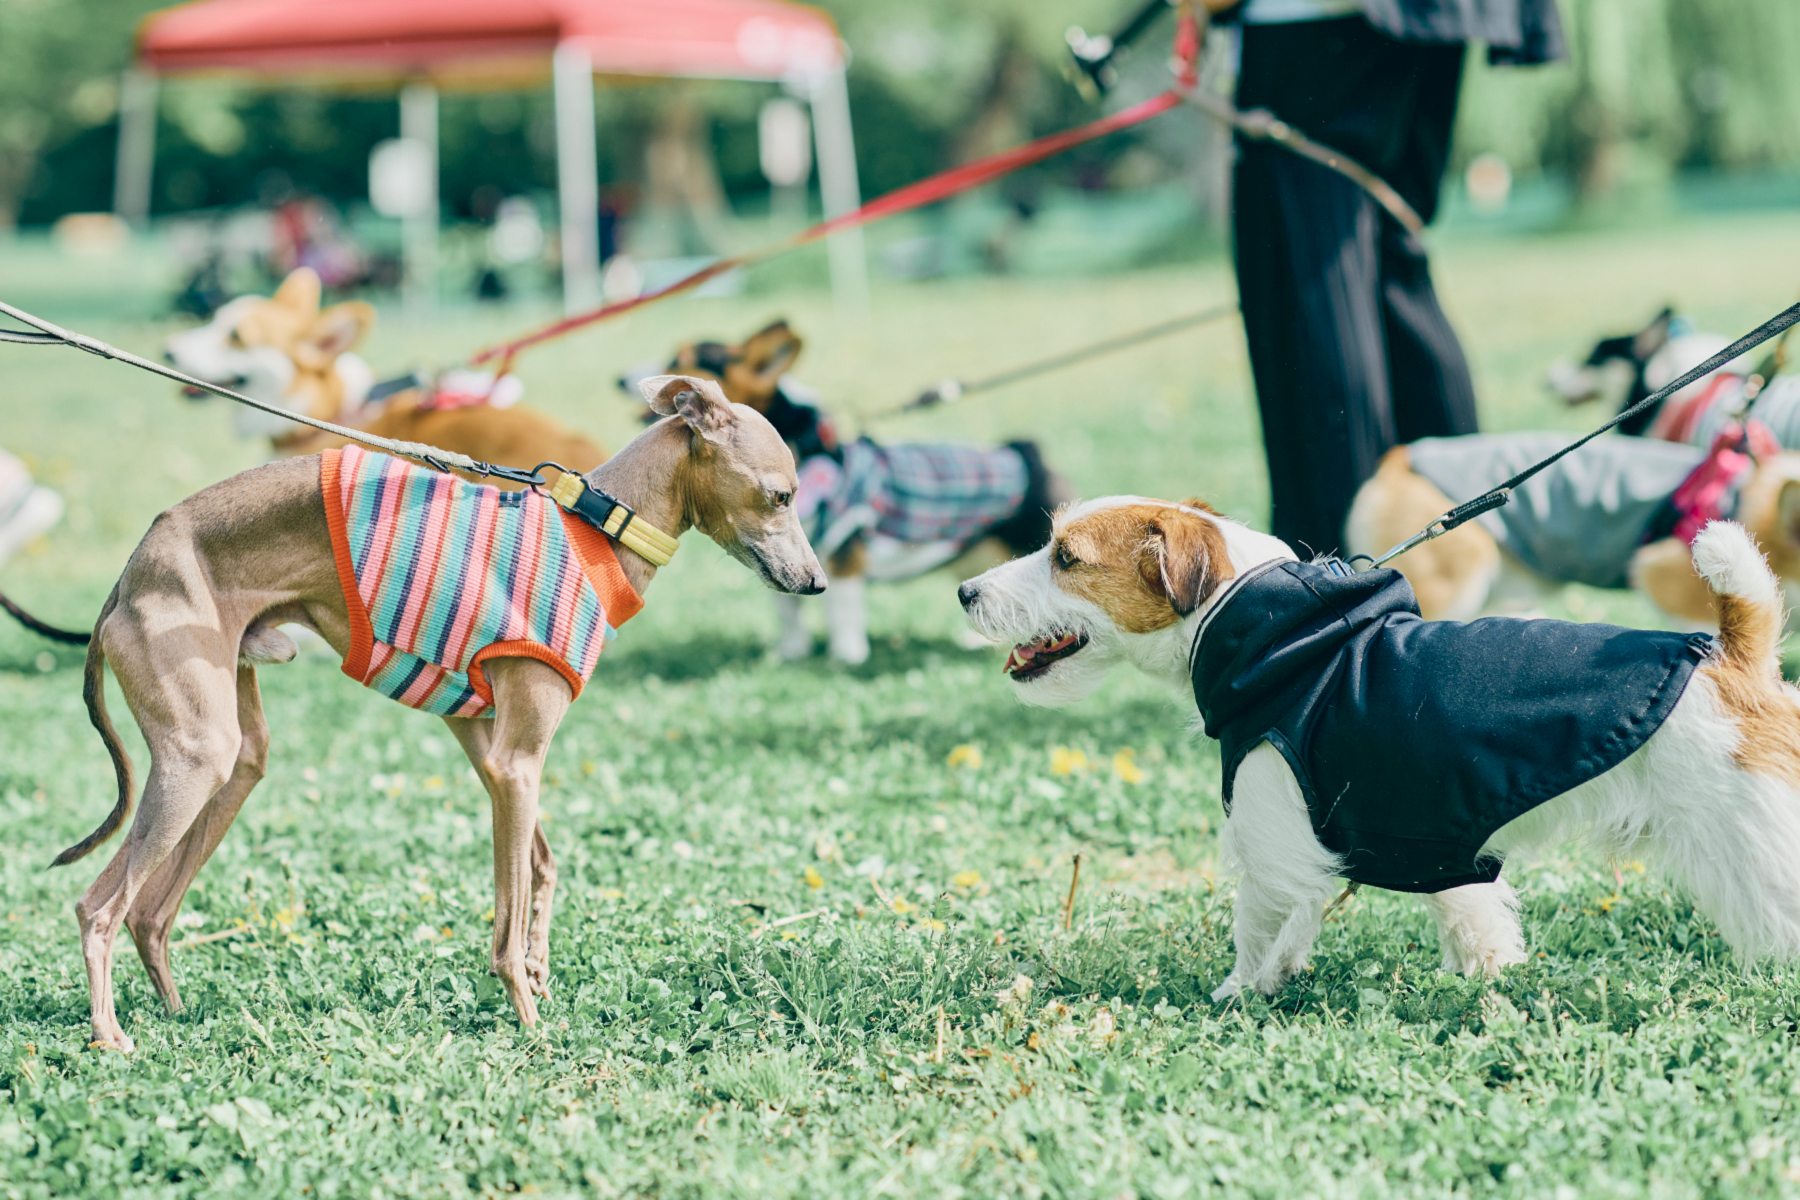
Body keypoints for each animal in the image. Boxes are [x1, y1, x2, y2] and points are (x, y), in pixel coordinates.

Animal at [972, 496, 1800, 993]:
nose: (964, 592)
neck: (1284, 637)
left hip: (1755, 849)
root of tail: (1725, 655)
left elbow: (1258, 924)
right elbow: (1471, 914)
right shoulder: (1442, 837)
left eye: (1066, 558)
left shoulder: (1276, 843)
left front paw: (1242, 992)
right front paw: (1485, 979)